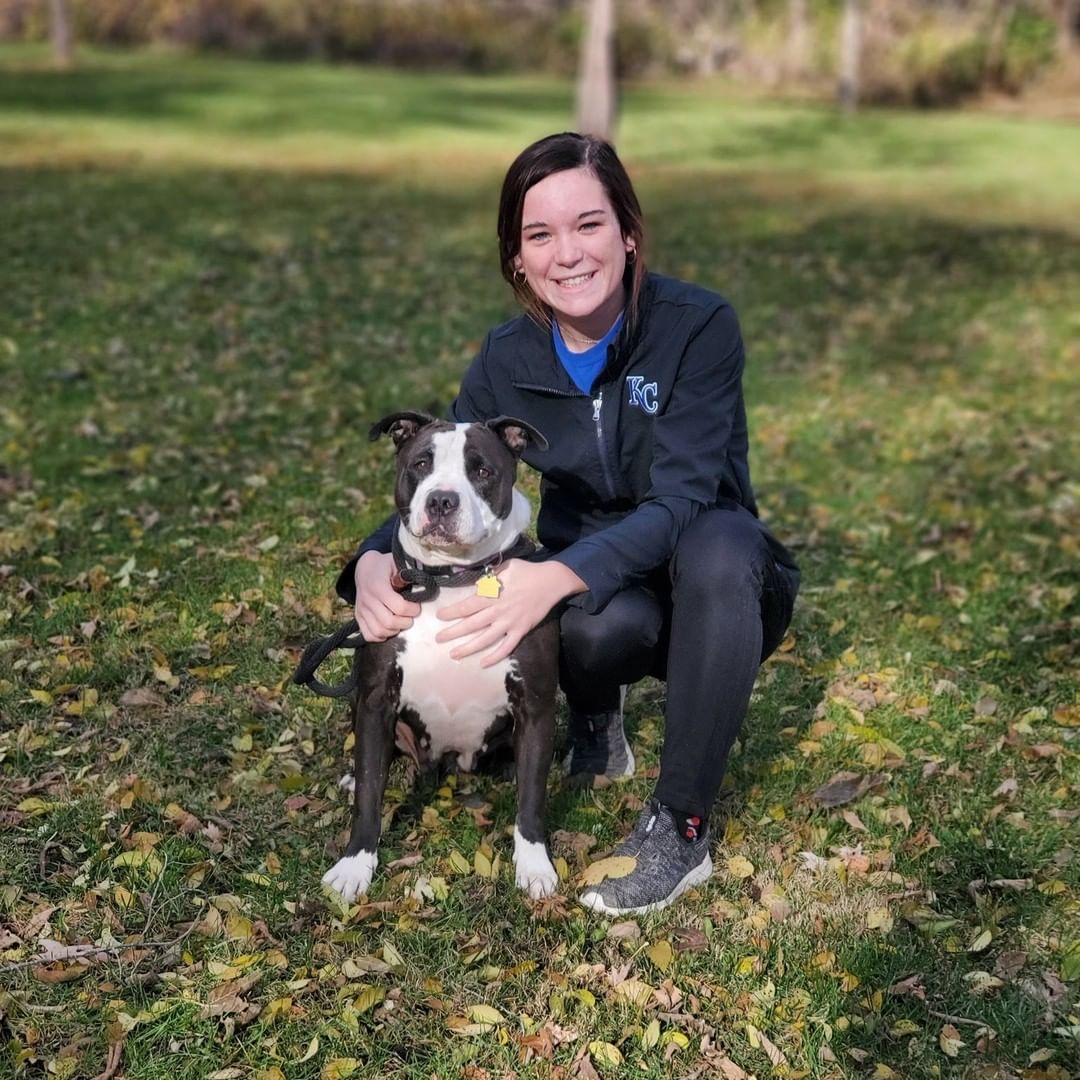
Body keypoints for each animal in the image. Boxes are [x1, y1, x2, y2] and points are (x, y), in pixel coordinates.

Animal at [317, 412, 557, 902]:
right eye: (421, 464)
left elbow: (532, 799)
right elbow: (369, 793)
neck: (450, 580)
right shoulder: (376, 700)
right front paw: (354, 865)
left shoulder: (537, 705)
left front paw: (534, 865)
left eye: (482, 470)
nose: (442, 500)